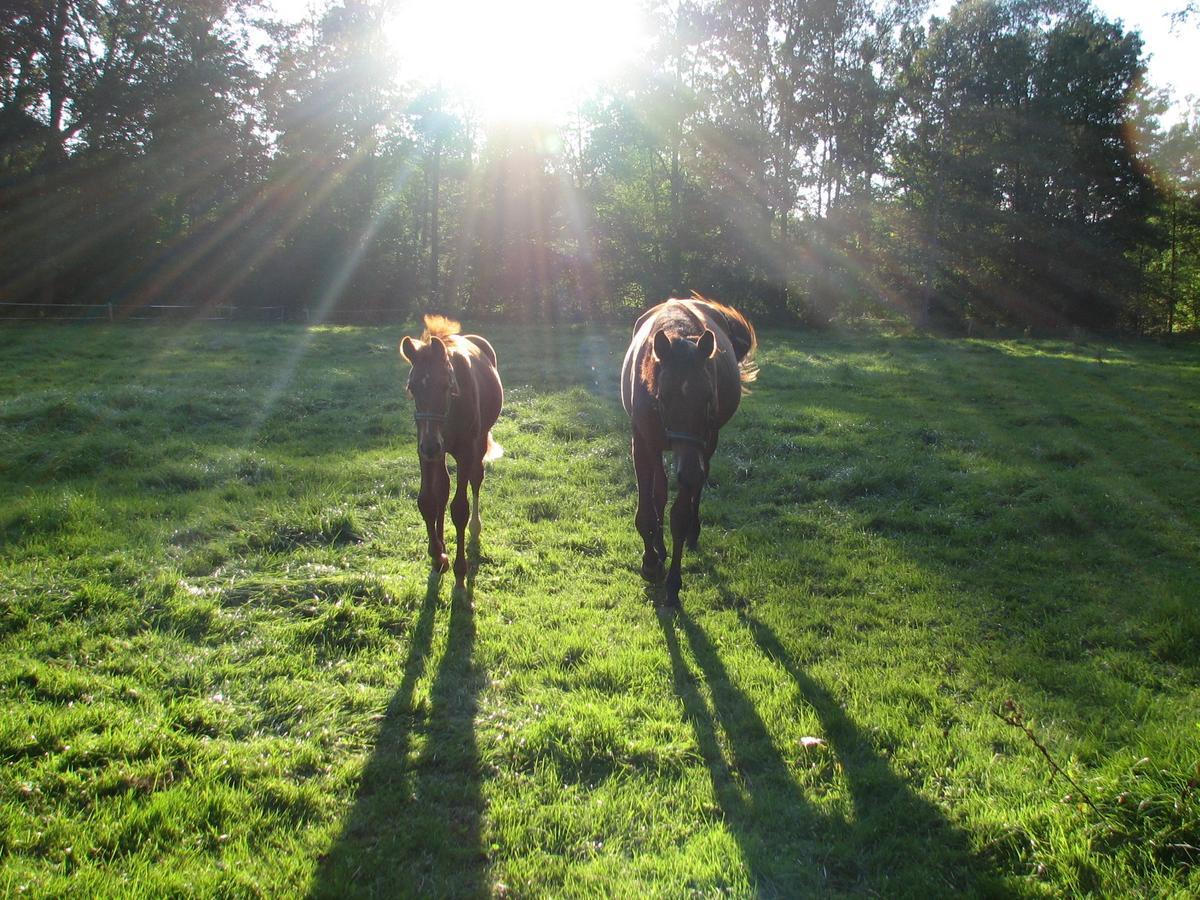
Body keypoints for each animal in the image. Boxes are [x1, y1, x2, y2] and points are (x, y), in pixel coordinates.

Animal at [398, 314, 501, 595]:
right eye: (412, 387)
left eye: (446, 385)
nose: (432, 445)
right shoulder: (424, 450)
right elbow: (428, 500)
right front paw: (437, 555)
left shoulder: (466, 452)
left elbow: (460, 508)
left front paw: (460, 571)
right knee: (442, 490)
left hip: (476, 445)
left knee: (476, 479)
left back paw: (475, 528)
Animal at [619, 296, 758, 607]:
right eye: (663, 397)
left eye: (708, 397)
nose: (690, 473)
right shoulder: (643, 444)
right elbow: (647, 509)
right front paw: (651, 564)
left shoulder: (697, 448)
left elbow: (679, 517)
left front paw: (673, 583)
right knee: (661, 492)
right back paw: (659, 548)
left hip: (706, 446)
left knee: (698, 484)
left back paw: (693, 532)